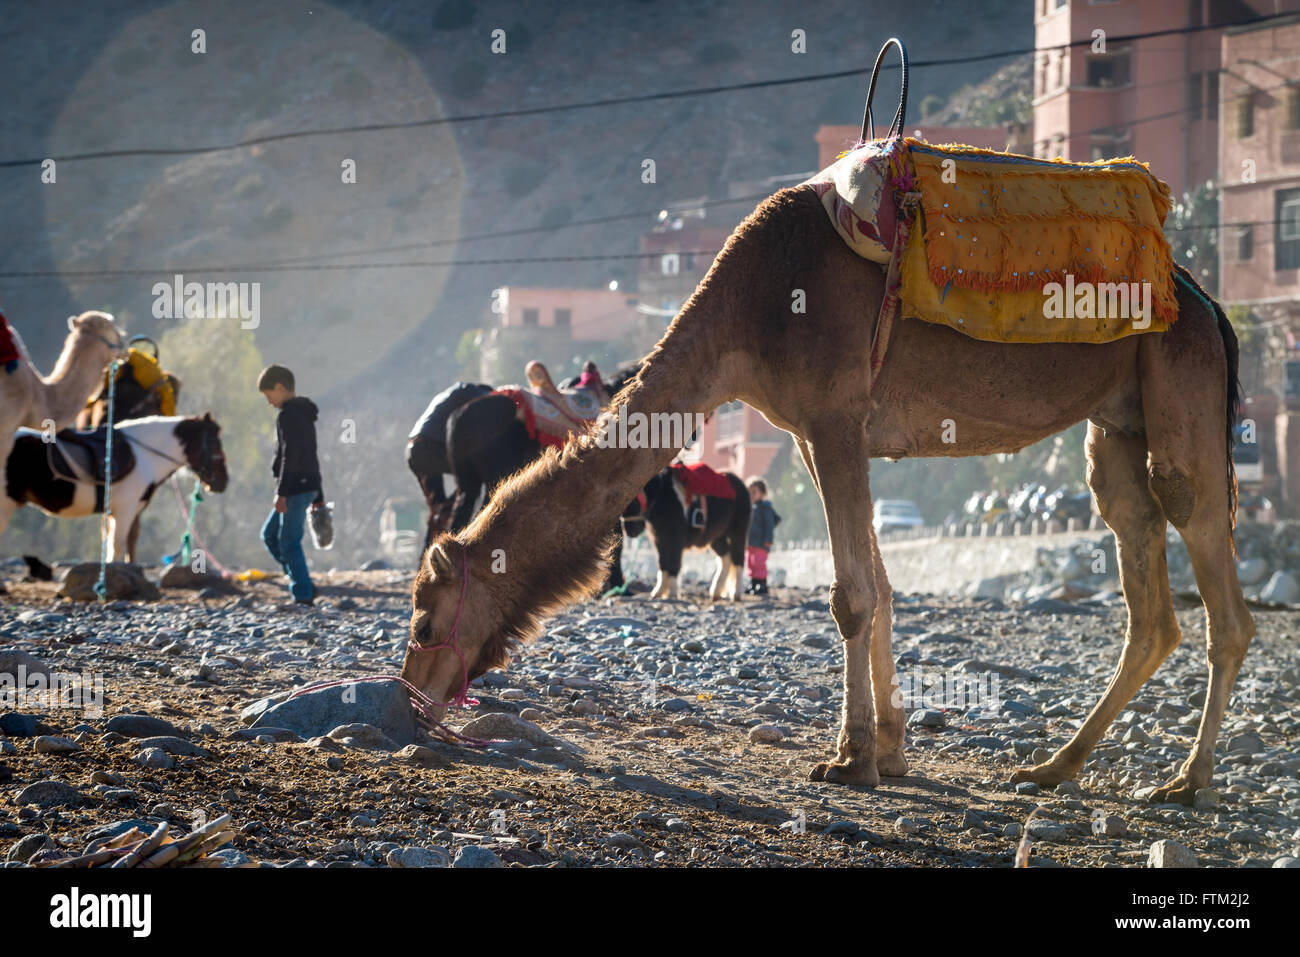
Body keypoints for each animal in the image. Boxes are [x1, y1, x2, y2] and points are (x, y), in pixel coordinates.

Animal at [402, 185, 1251, 806]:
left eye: (424, 619)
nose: (413, 696)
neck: (747, 313)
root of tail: (1209, 304)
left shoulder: (836, 414)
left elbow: (851, 594)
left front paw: (850, 759)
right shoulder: (816, 433)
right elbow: (878, 582)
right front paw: (893, 746)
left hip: (1181, 382)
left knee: (1212, 574)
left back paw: (1186, 781)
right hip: (1119, 421)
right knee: (1145, 585)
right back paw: (1053, 767)